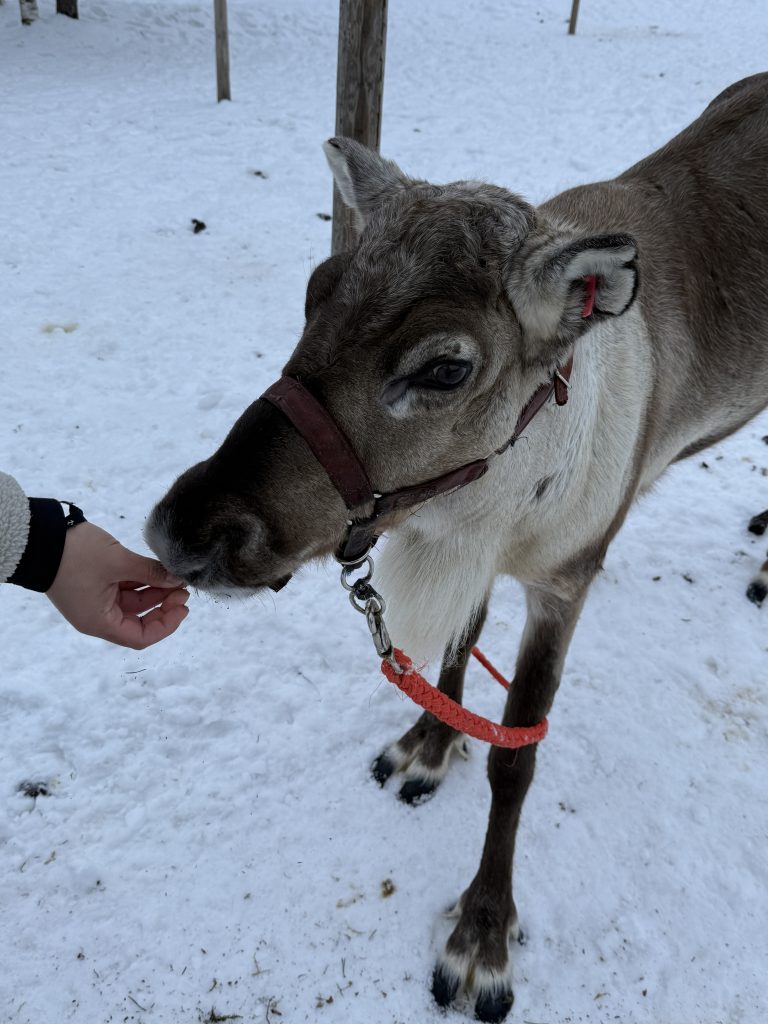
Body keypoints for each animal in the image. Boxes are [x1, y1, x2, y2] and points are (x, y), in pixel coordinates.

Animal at [146, 73, 768, 1022]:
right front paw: (426, 750)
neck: (494, 507)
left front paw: (481, 939)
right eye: (315, 287)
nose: (186, 530)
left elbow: (518, 754)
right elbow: (451, 657)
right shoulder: (467, 550)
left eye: (444, 367)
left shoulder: (564, 582)